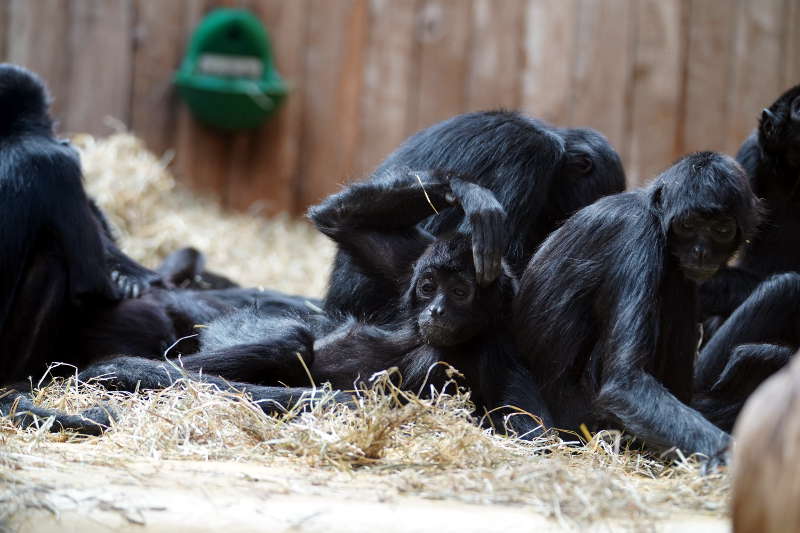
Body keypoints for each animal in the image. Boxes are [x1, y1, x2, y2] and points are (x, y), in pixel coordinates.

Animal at [516, 151, 760, 458]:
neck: (650, 211)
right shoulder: (637, 237)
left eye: (722, 229)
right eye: (687, 225)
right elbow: (625, 385)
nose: (700, 252)